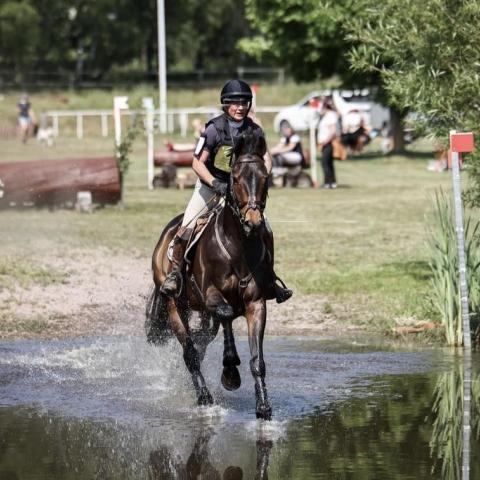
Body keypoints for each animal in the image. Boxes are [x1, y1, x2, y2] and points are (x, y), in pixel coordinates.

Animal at [146, 131, 276, 420]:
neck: (238, 245)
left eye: (265, 177)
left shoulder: (255, 303)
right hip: (175, 305)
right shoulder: (212, 296)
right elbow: (226, 314)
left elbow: (257, 360)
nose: (253, 222)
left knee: (201, 342)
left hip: (202, 313)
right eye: (235, 178)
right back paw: (204, 397)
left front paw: (263, 407)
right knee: (191, 352)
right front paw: (230, 371)